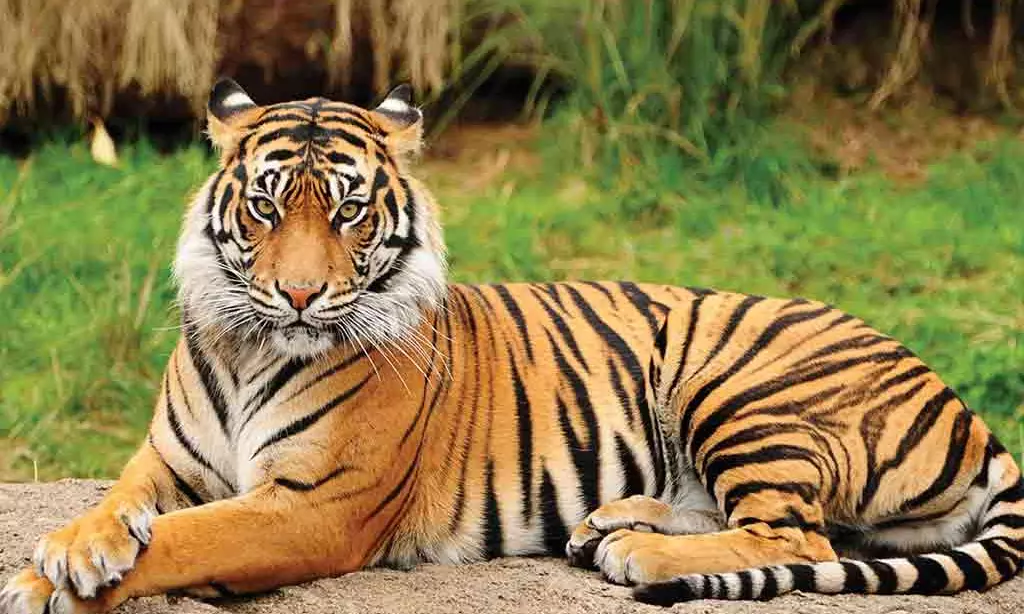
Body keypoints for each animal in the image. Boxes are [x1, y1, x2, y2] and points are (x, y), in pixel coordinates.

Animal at [1, 78, 1021, 614]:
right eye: (264, 205)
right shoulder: (167, 462)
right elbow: (122, 505)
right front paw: (72, 547)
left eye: (348, 211)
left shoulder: (313, 505)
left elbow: (185, 537)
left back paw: (637, 555)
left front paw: (49, 581)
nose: (297, 293)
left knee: (794, 530)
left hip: (739, 384)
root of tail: (966, 409)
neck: (254, 347)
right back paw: (614, 522)